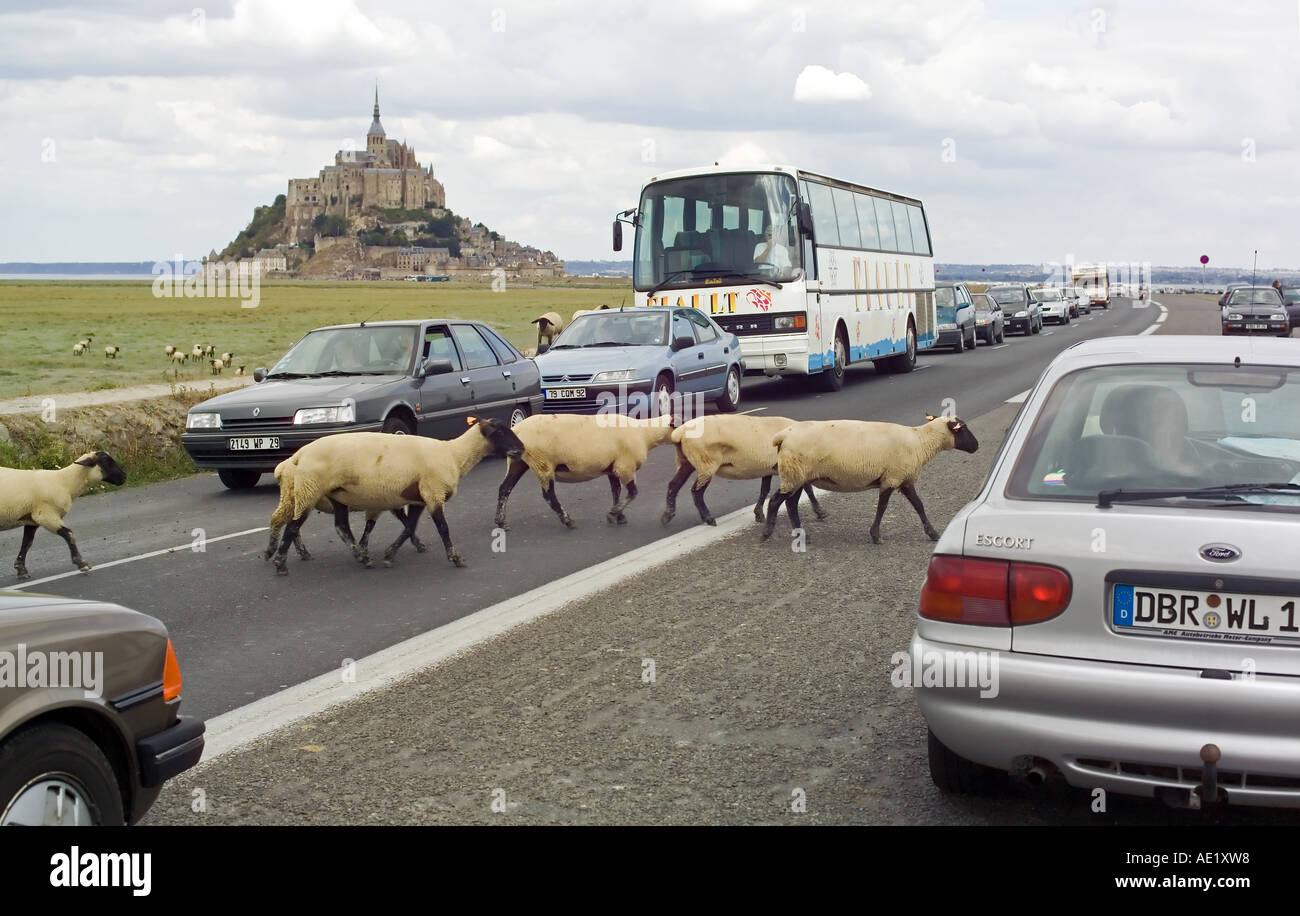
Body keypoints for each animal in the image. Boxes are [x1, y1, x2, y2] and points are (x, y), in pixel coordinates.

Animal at [1, 449, 126, 579]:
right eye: (107, 461)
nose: (124, 477)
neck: (65, 482)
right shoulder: (46, 515)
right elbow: (69, 534)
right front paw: (82, 563)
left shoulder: (32, 519)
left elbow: (27, 542)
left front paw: (21, 569)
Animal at [265, 415, 522, 571]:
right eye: (500, 432)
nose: (521, 449)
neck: (454, 455)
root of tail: (297, 456)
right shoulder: (433, 493)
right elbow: (442, 528)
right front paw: (456, 558)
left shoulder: (418, 498)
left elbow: (409, 526)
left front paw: (390, 554)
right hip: (309, 491)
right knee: (292, 525)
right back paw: (278, 561)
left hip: (333, 495)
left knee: (339, 526)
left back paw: (361, 556)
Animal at [493, 407, 676, 524]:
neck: (644, 433)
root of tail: (516, 429)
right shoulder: (625, 467)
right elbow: (633, 492)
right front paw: (613, 514)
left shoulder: (613, 468)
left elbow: (616, 492)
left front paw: (619, 516)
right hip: (542, 463)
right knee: (548, 495)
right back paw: (567, 520)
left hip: (518, 461)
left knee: (504, 488)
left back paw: (500, 520)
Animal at [665, 413, 826, 524]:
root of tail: (680, 432)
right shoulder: (795, 466)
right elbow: (808, 489)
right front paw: (820, 512)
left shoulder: (768, 467)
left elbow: (764, 490)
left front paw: (759, 514)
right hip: (706, 463)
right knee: (696, 491)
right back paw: (708, 518)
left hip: (687, 461)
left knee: (674, 485)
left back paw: (667, 515)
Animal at [759, 415, 977, 543]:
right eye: (963, 428)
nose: (976, 446)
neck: (921, 442)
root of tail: (782, 436)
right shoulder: (892, 477)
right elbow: (883, 507)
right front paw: (876, 535)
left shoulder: (903, 479)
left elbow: (918, 505)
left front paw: (932, 533)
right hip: (794, 473)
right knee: (776, 501)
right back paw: (767, 532)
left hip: (798, 476)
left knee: (790, 504)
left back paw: (802, 534)